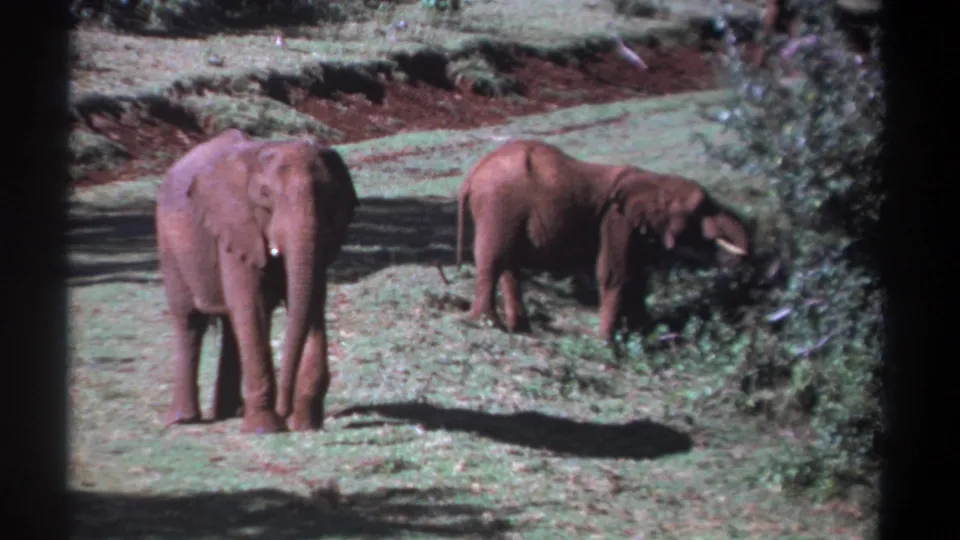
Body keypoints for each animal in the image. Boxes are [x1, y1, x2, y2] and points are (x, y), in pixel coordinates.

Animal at [155, 129, 359, 434]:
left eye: (328, 196)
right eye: (265, 195)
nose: (285, 412)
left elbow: (311, 302)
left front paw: (304, 424)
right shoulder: (234, 226)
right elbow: (250, 305)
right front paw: (265, 428)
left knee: (230, 324)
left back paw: (229, 412)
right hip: (169, 247)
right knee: (190, 321)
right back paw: (183, 420)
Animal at [454, 139, 750, 342]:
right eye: (701, 207)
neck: (654, 181)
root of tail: (473, 174)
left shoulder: (635, 228)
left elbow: (638, 276)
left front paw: (643, 336)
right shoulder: (616, 219)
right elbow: (616, 273)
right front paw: (607, 342)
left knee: (509, 264)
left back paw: (520, 329)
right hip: (498, 203)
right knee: (493, 259)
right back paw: (485, 323)